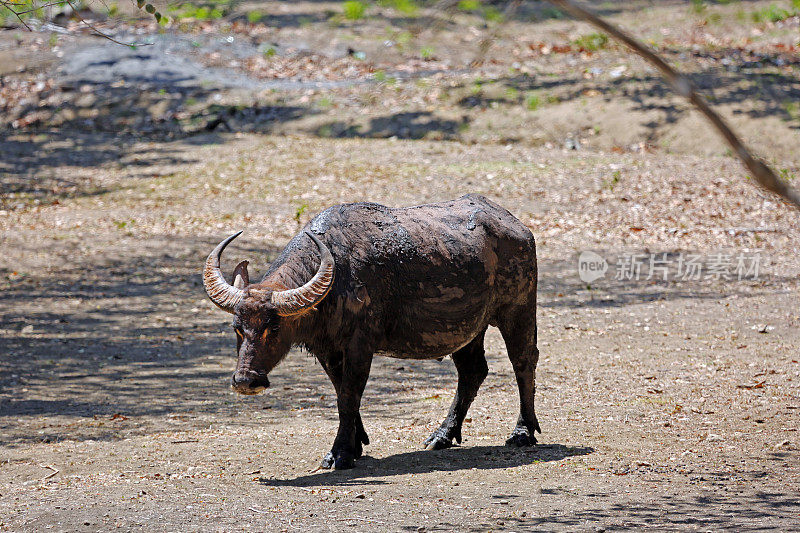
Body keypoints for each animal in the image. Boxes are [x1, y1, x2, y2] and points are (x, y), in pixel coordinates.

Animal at [203, 193, 540, 468]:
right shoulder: (327, 350)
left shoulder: (360, 347)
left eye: (273, 326)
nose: (245, 380)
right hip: (467, 330)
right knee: (473, 372)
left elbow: (349, 395)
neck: (338, 277)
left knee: (523, 362)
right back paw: (441, 435)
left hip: (518, 310)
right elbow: (340, 392)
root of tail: (519, 228)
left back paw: (522, 432)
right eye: (237, 328)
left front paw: (339, 453)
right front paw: (355, 443)